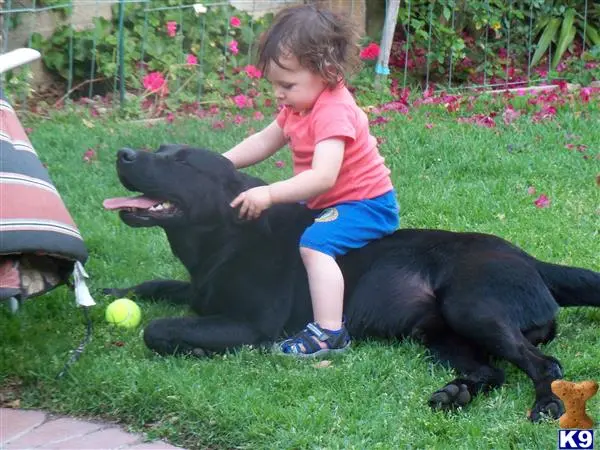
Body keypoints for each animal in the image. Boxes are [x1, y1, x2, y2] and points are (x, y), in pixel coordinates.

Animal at [104, 145, 600, 422]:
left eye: (182, 162)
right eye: (160, 149)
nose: (123, 153)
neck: (224, 236)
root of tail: (531, 260)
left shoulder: (251, 324)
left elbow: (158, 328)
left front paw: (193, 347)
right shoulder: (198, 289)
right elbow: (154, 283)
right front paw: (112, 292)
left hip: (471, 307)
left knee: (545, 363)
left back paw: (546, 405)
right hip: (440, 335)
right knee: (489, 371)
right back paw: (455, 392)